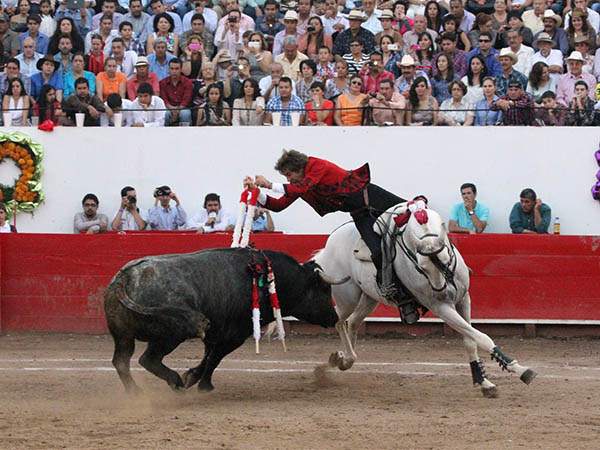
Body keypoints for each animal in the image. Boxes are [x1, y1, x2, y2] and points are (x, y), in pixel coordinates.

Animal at [105, 248, 344, 392]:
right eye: (324, 289)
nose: (335, 317)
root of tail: (126, 277)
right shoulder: (235, 334)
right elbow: (215, 358)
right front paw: (201, 384)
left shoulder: (214, 333)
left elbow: (208, 356)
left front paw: (194, 377)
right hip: (172, 335)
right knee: (148, 359)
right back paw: (175, 382)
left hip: (123, 335)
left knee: (121, 361)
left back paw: (135, 392)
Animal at [312, 201, 536, 398]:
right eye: (420, 263)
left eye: (441, 255)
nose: (441, 289)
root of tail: (329, 245)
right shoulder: (441, 307)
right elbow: (481, 337)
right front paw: (521, 370)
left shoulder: (463, 299)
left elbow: (470, 340)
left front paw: (483, 382)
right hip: (347, 297)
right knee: (339, 321)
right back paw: (340, 359)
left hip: (369, 298)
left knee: (352, 323)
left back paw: (344, 359)